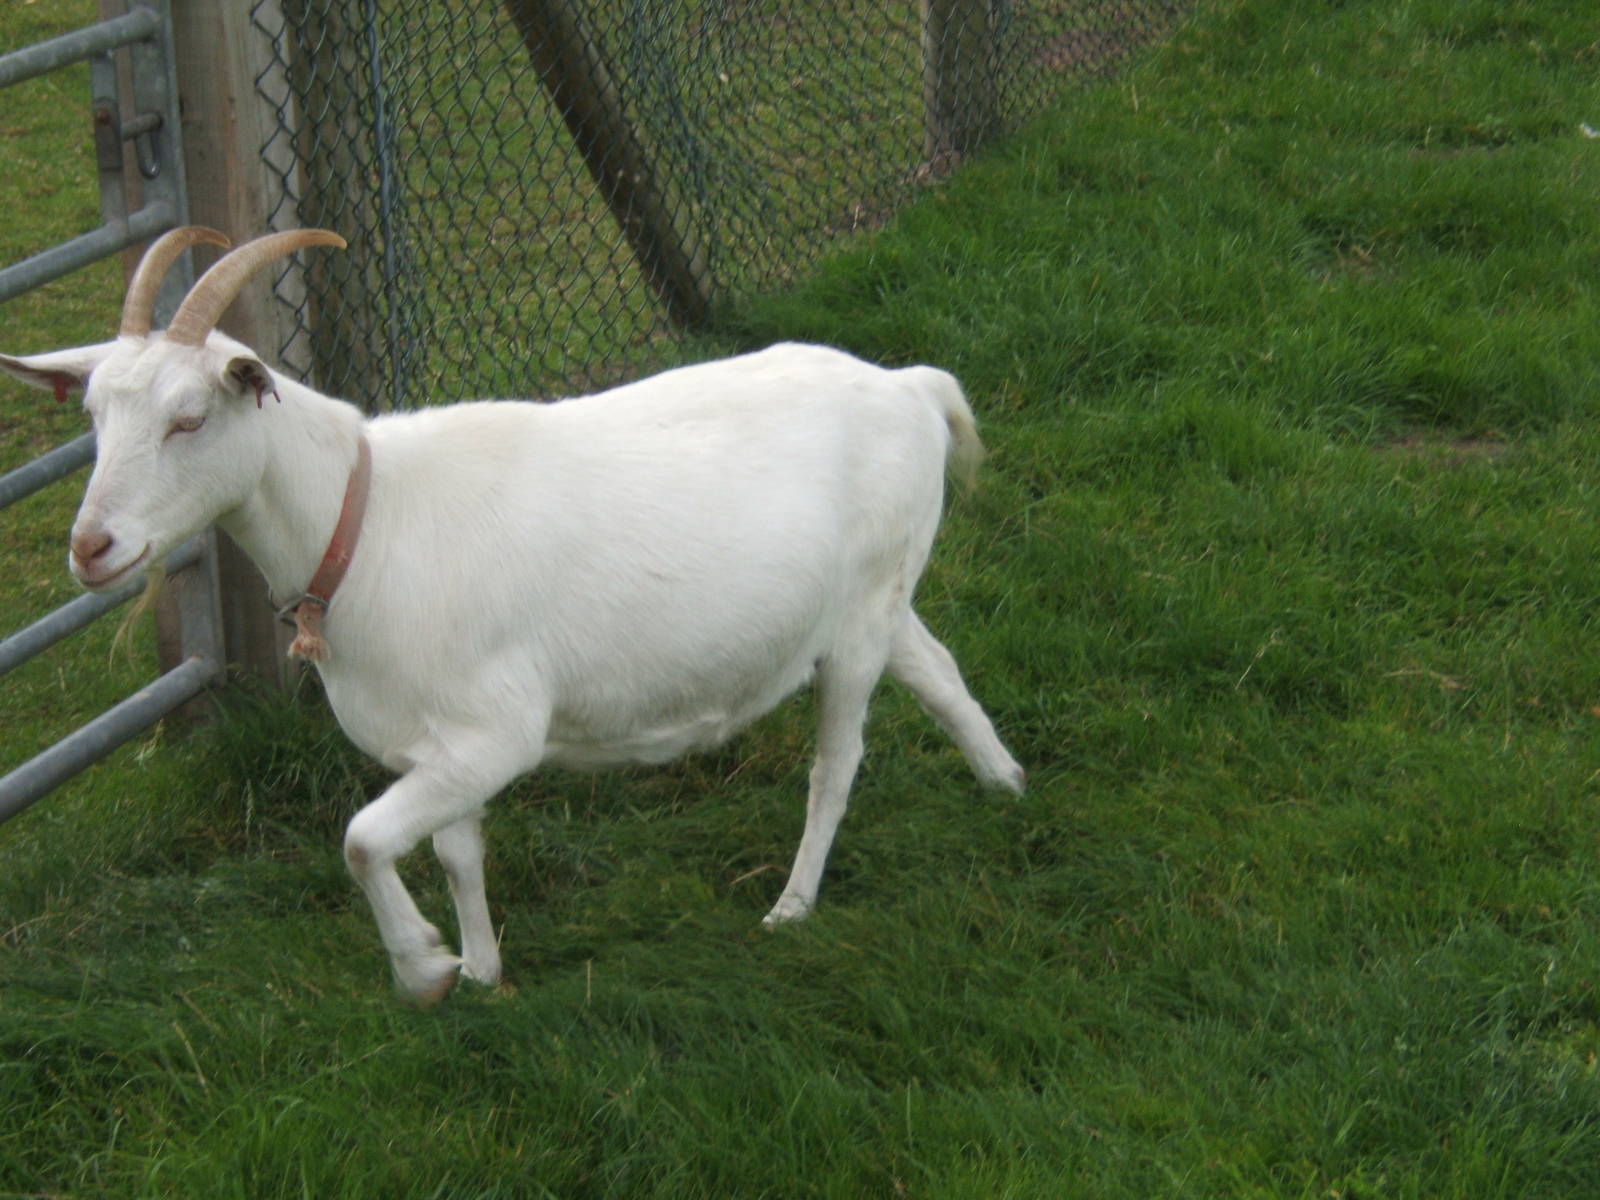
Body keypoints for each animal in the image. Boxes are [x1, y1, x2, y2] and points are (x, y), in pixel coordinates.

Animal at [0, 227, 1025, 1004]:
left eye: (189, 418)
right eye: (93, 416)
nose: (92, 548)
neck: (367, 517)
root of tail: (912, 387)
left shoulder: (497, 731)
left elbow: (362, 840)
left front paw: (422, 969)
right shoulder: (436, 745)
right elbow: (456, 852)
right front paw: (481, 972)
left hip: (854, 622)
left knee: (835, 765)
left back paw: (792, 906)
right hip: (880, 597)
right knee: (938, 670)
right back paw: (1005, 785)